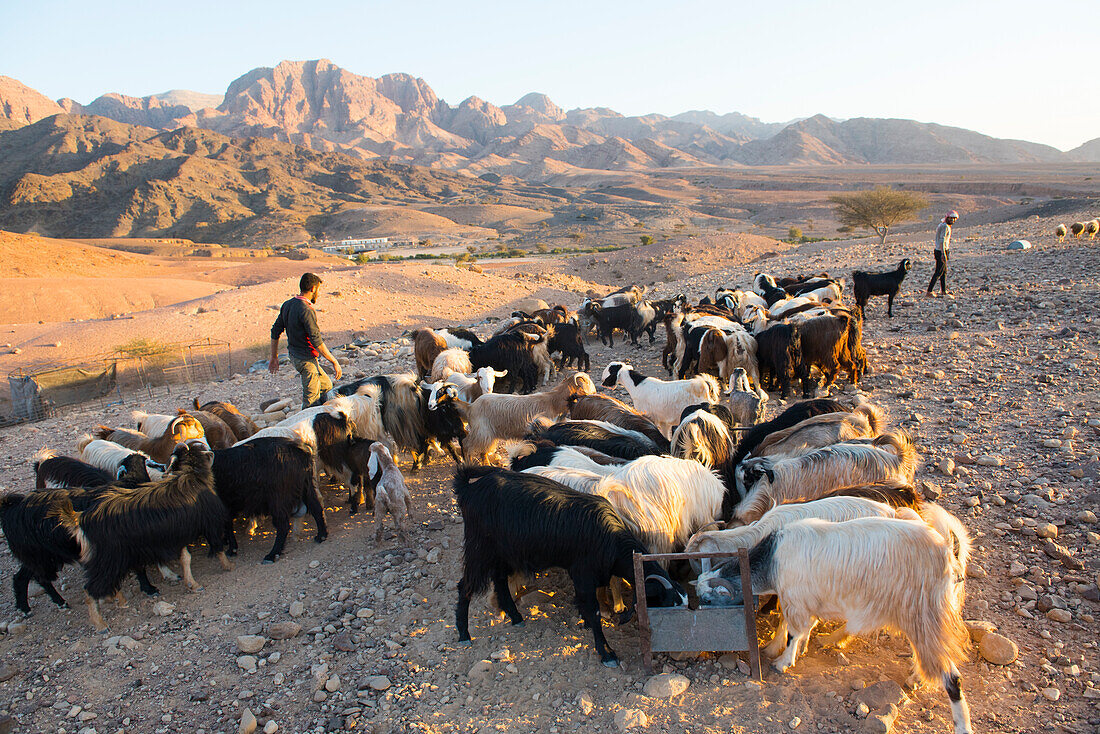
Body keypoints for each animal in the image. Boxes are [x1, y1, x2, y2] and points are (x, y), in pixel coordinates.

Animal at [451, 468, 682, 669]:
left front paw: (587, 625)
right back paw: (464, 634)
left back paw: (515, 617)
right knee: (465, 586)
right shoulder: (583, 573)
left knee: (499, 580)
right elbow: (594, 611)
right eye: (666, 604)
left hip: (504, 552)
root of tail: (468, 489)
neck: (610, 538)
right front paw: (607, 653)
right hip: (479, 549)